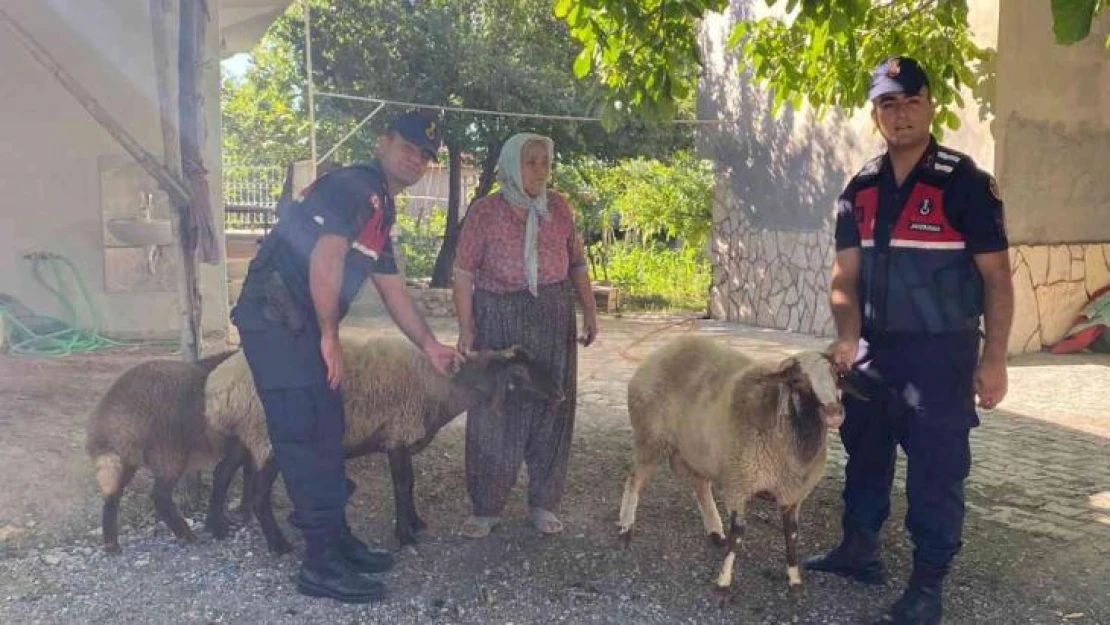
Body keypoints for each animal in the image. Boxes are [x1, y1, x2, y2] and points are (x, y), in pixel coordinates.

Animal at [621, 335, 861, 599]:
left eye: (836, 376)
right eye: (797, 381)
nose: (834, 414)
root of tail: (665, 348)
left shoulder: (792, 494)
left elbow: (792, 535)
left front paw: (795, 579)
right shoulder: (740, 483)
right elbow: (737, 535)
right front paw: (723, 582)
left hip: (696, 450)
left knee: (700, 486)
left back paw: (715, 531)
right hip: (650, 437)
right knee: (635, 479)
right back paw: (626, 528)